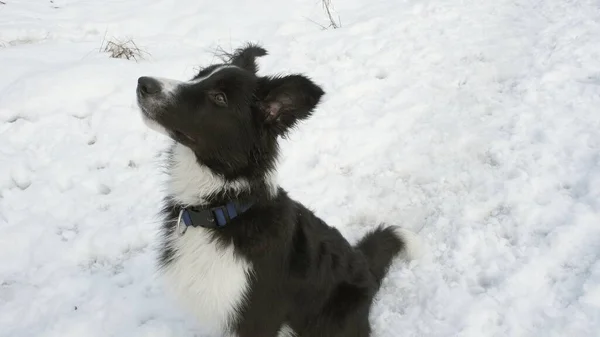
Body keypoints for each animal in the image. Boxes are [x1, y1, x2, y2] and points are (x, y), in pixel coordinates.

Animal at [136, 43, 420, 334]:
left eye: (219, 98)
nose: (143, 84)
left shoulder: (257, 319)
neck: (219, 208)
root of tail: (364, 265)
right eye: (198, 75)